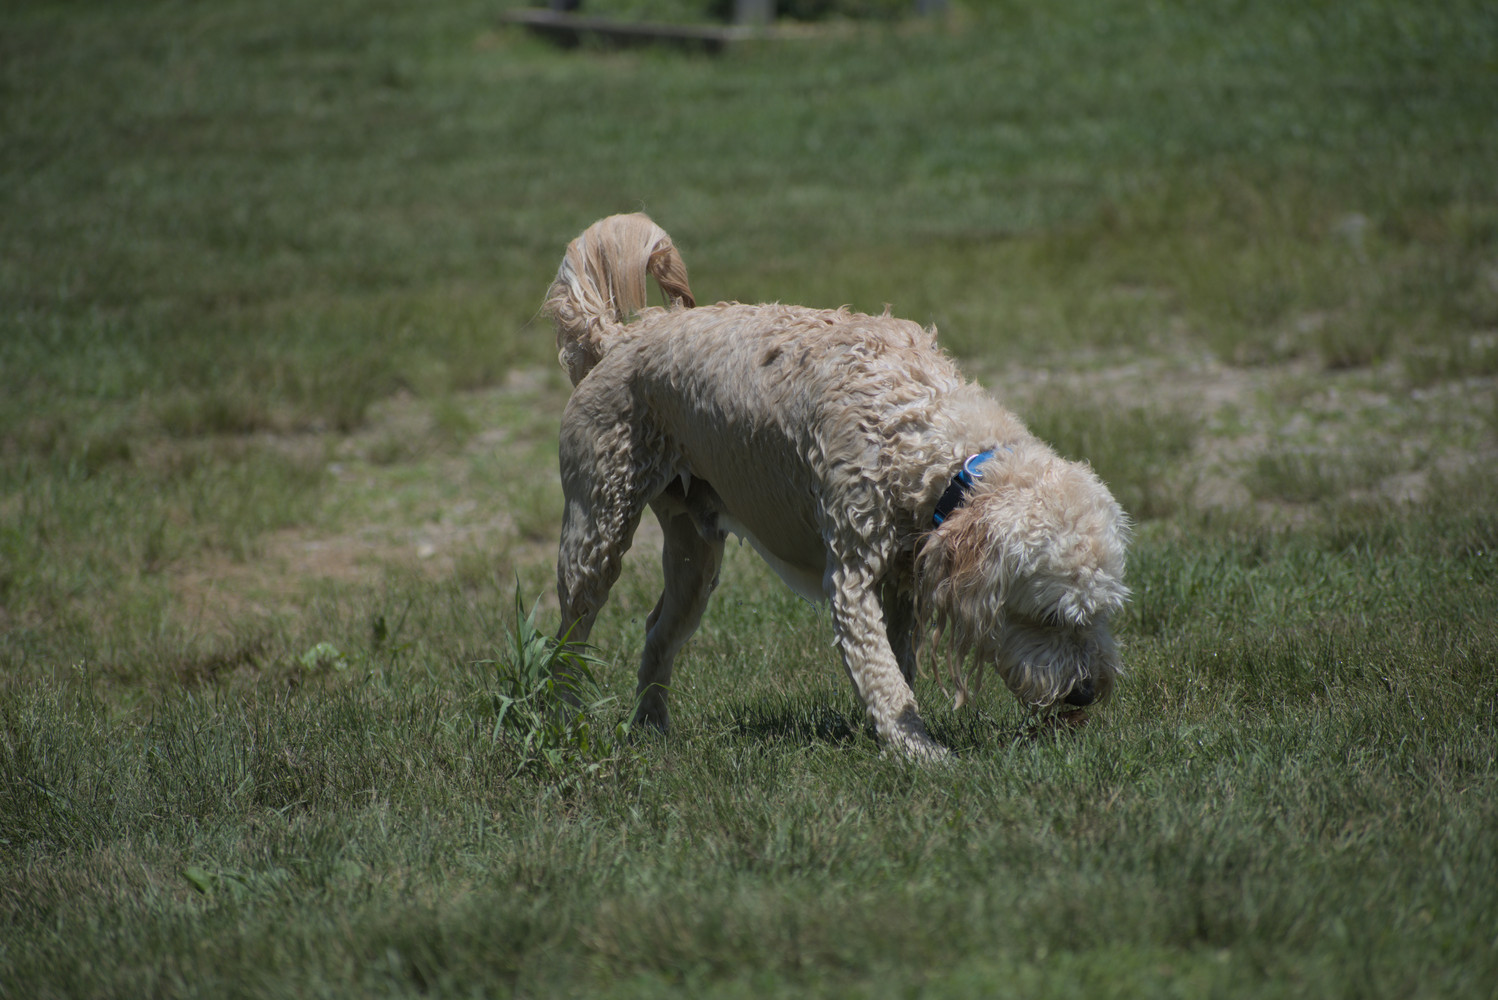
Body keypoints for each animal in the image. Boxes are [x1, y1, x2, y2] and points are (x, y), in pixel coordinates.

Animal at [544, 213, 1130, 758]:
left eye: (1102, 613)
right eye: (1047, 616)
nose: (1085, 692)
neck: (919, 428)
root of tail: (618, 337)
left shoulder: (901, 582)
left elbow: (898, 663)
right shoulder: (850, 579)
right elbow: (882, 674)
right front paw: (919, 750)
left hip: (695, 561)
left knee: (655, 634)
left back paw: (651, 727)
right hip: (595, 538)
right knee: (566, 646)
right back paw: (567, 724)